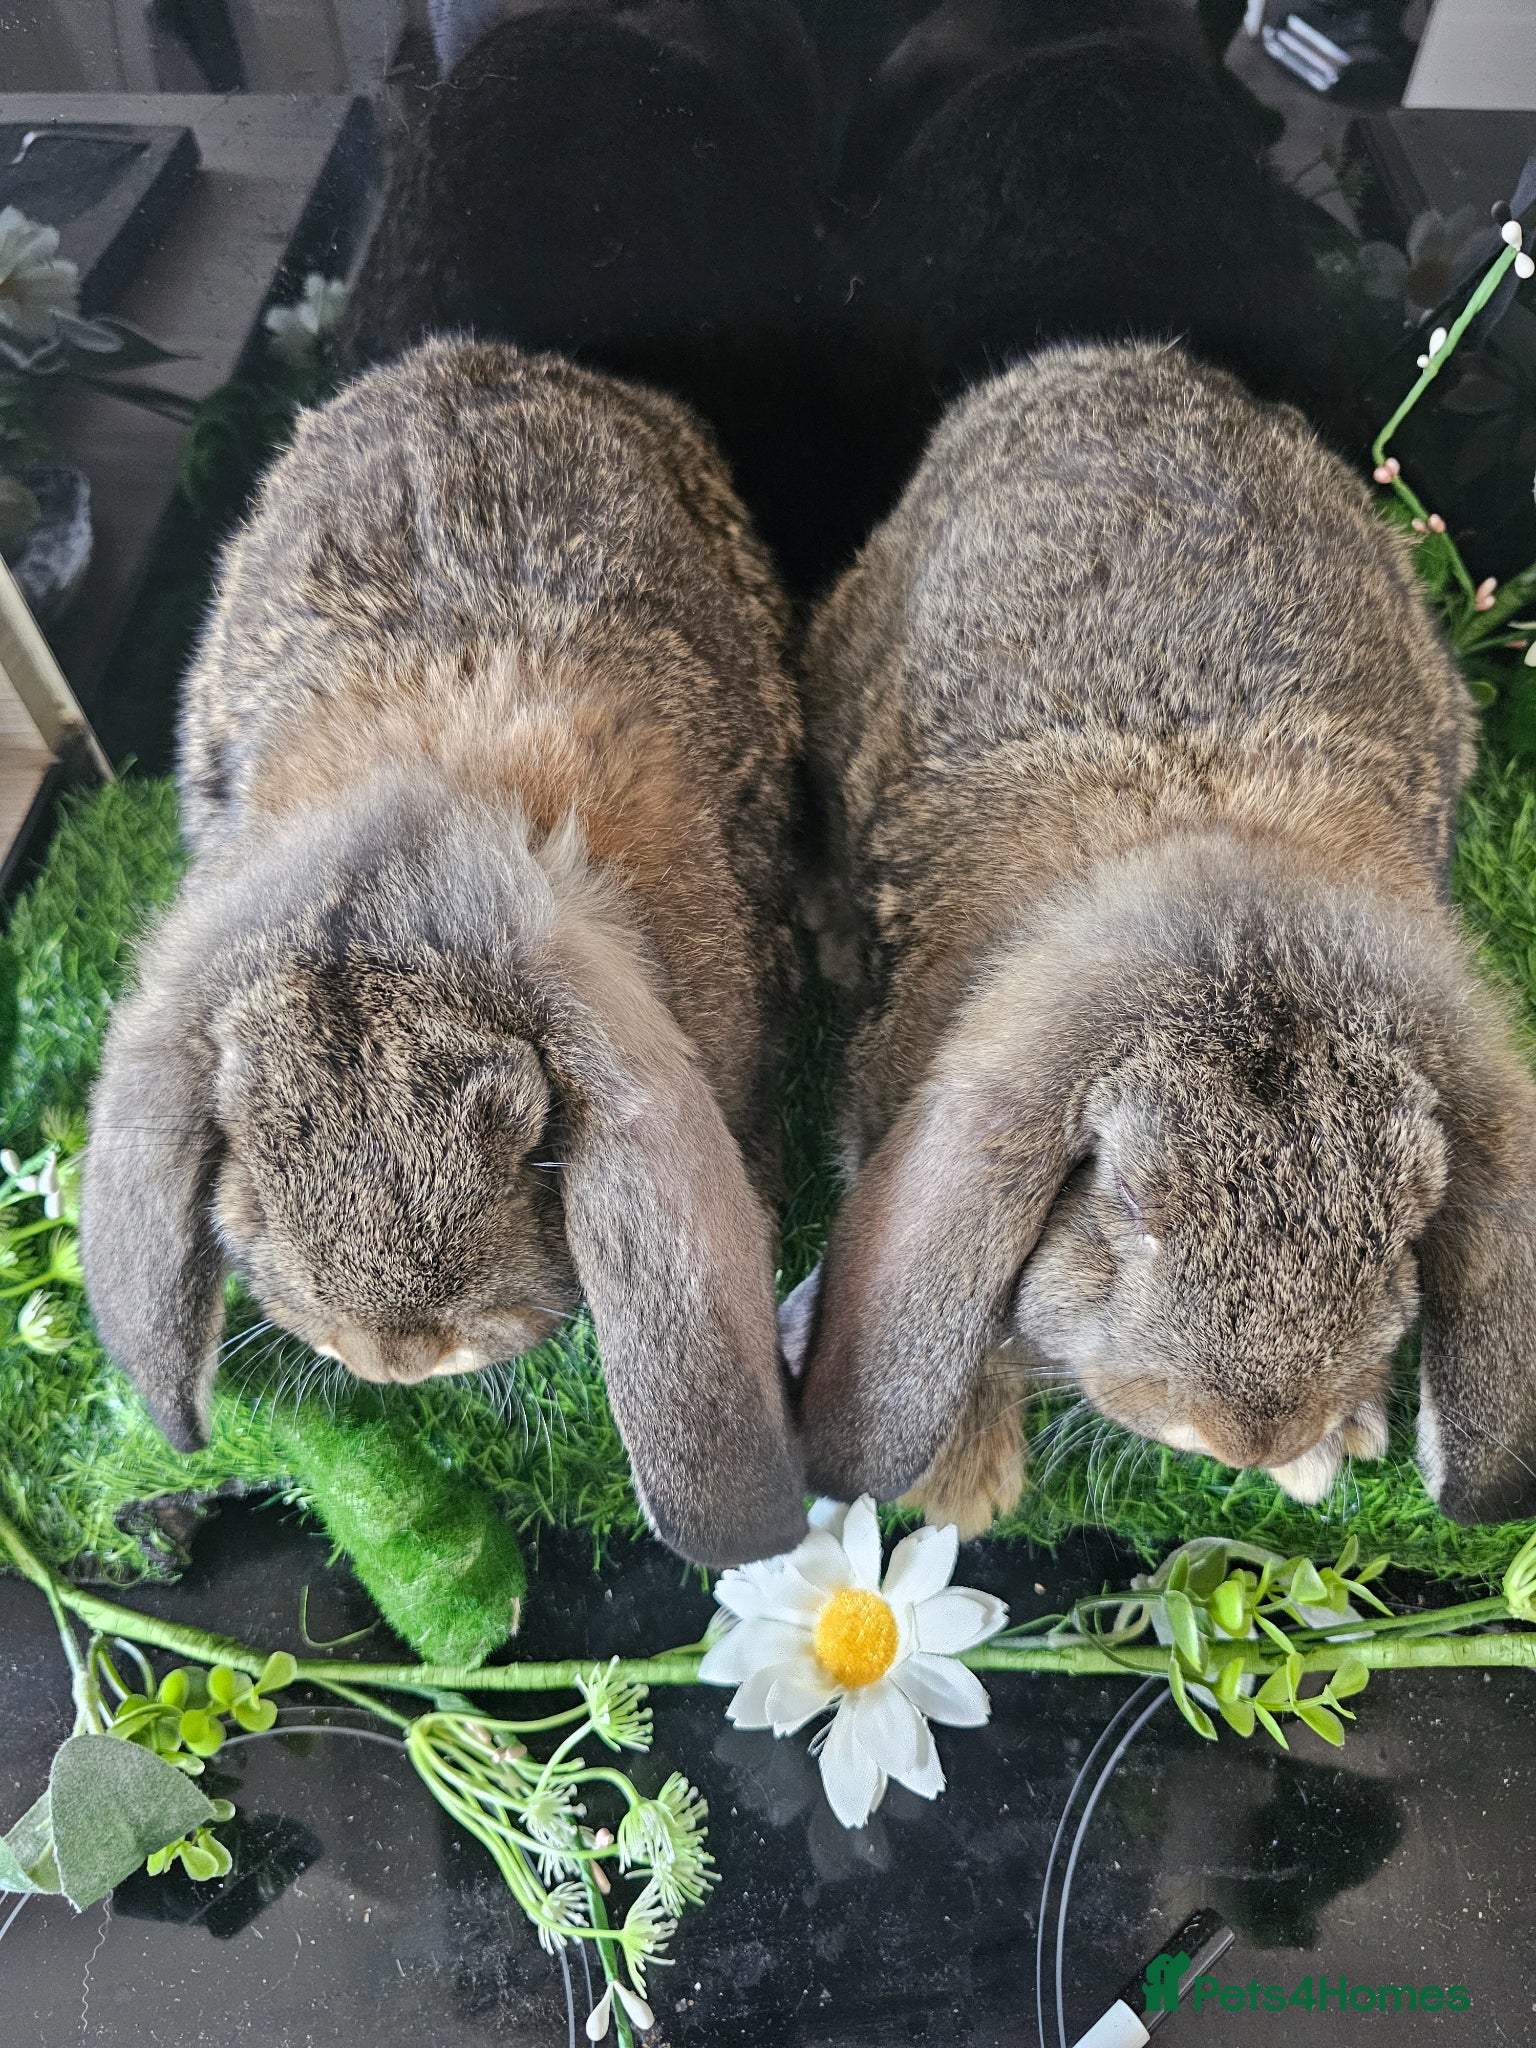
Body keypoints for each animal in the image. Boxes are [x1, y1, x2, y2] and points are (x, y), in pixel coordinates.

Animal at [791, 340, 1536, 1537]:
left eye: (1403, 1231)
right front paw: (964, 1491)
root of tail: (1103, 358)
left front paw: (1328, 1449)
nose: (1247, 1437)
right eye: (1126, 1202)